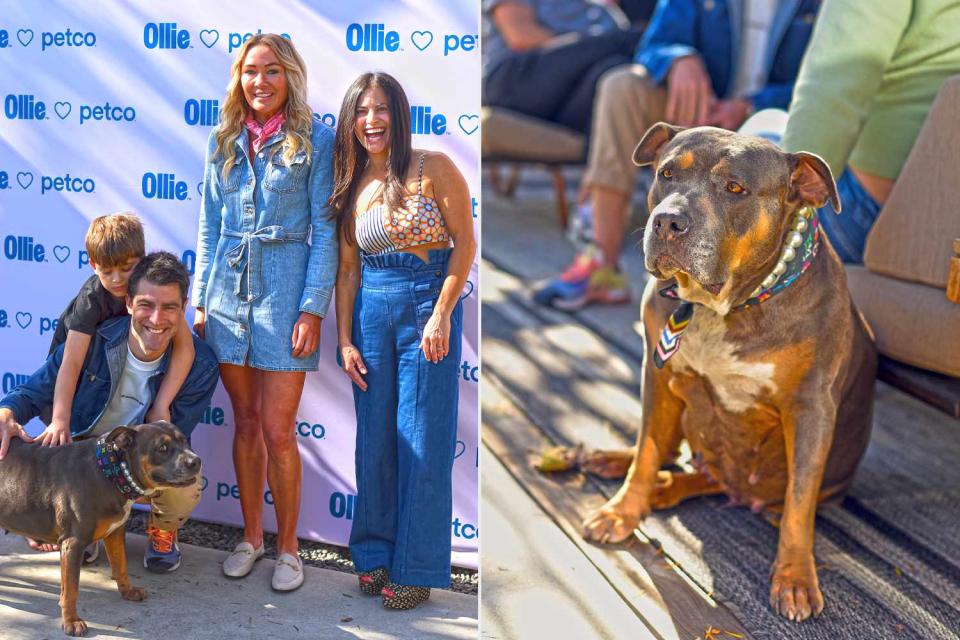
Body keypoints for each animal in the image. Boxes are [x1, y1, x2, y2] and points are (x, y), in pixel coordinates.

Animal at [0, 420, 201, 636]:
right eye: (162, 448)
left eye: (185, 440)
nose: (196, 461)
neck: (111, 470)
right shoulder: (73, 544)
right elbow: (71, 589)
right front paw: (71, 621)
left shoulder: (115, 532)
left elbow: (121, 565)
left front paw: (127, 591)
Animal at [576, 122, 876, 624]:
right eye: (666, 173)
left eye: (735, 188)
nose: (667, 221)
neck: (727, 304)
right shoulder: (658, 375)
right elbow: (647, 450)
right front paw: (623, 510)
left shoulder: (811, 408)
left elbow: (799, 503)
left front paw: (795, 578)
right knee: (666, 452)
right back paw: (617, 463)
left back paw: (665, 488)